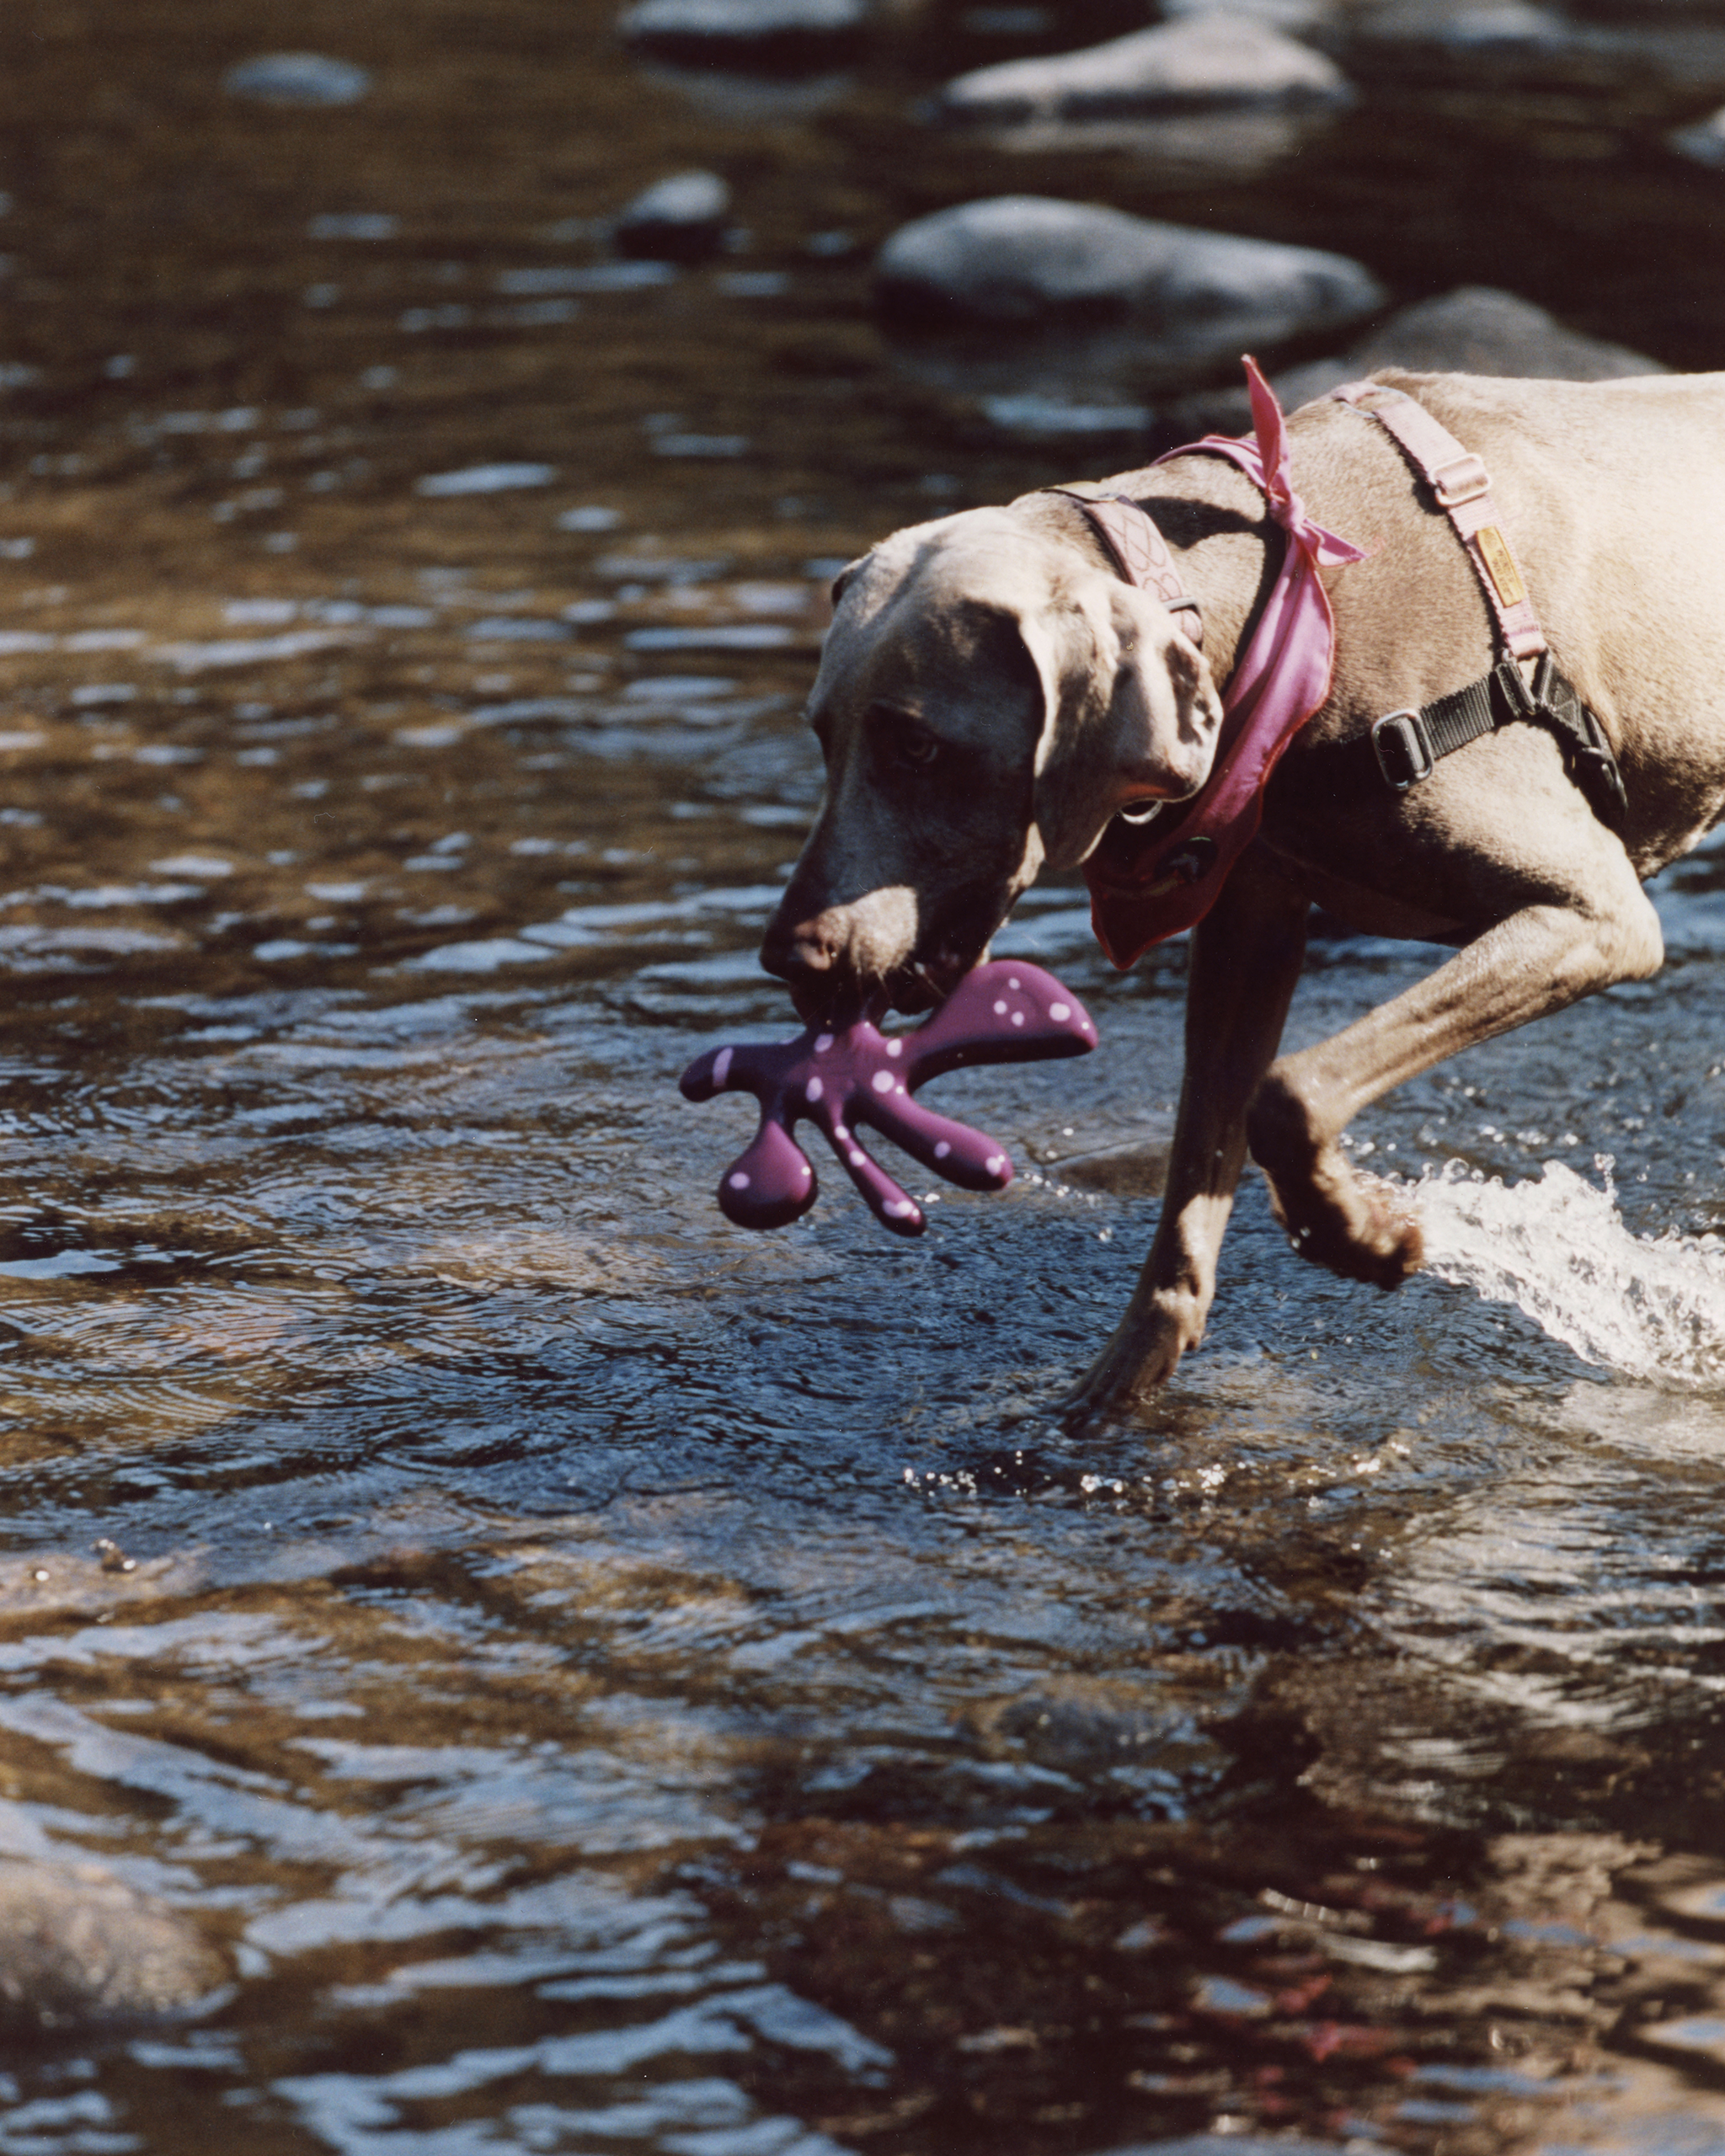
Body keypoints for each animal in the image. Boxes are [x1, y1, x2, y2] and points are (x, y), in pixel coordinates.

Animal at [763, 371, 1725, 1414]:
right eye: (822, 734)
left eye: (918, 746)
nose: (787, 953)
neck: (1285, 605)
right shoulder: (1247, 924)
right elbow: (1200, 1152)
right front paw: (1120, 1377)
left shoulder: (1596, 915)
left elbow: (1286, 1095)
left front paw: (1363, 1235)